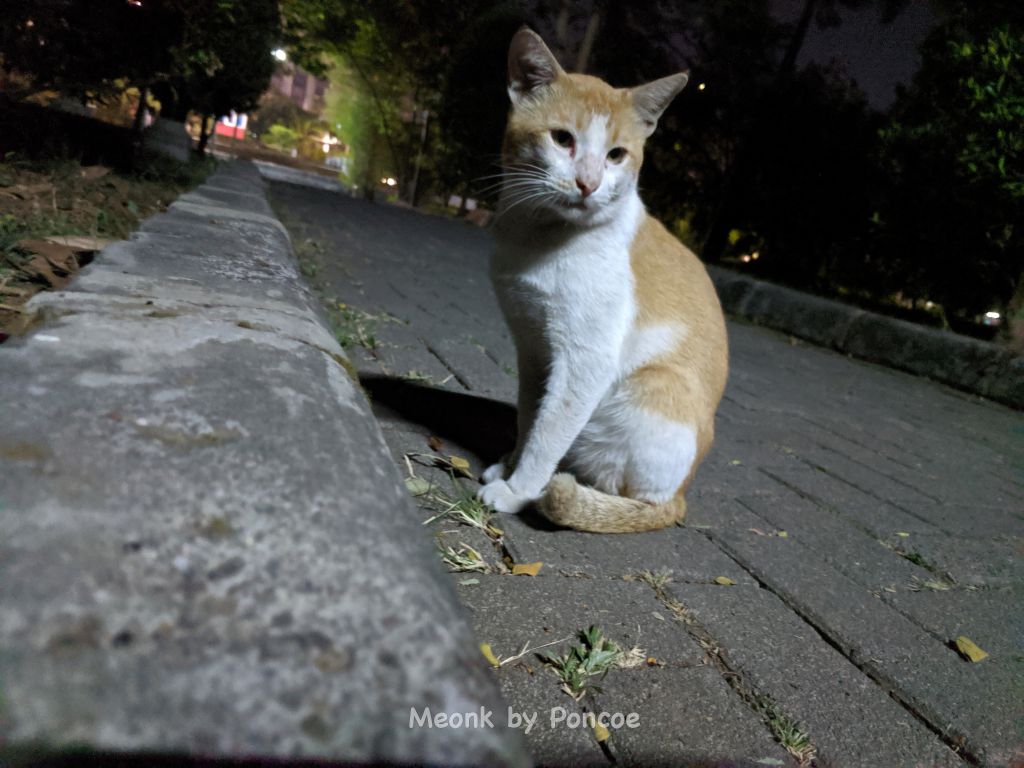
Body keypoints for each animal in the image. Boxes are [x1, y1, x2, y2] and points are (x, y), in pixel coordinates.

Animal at [476, 27, 729, 533]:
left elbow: (548, 434)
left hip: (640, 392)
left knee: (623, 491)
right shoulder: (533, 348)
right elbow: (530, 417)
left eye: (616, 155)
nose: (588, 183)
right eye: (562, 139)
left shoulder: (584, 361)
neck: (539, 235)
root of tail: (680, 496)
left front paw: (518, 489)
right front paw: (512, 465)